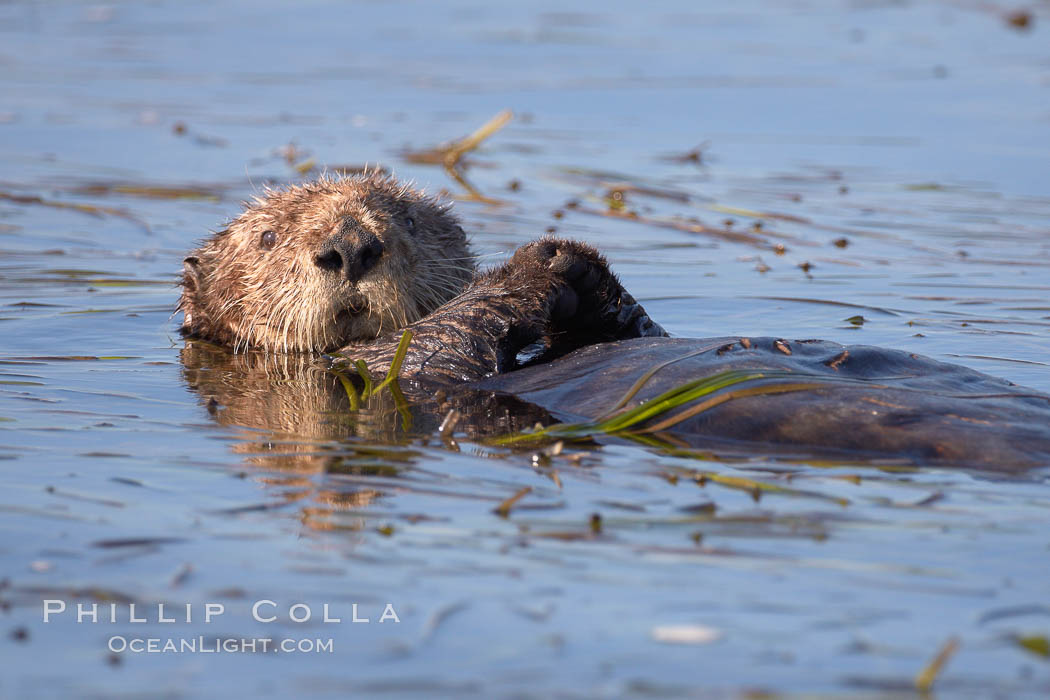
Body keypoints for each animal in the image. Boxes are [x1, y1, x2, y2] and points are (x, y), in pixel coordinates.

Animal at [180, 174, 1050, 470]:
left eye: (407, 218)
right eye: (269, 238)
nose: (352, 245)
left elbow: (631, 331)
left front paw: (573, 265)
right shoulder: (380, 374)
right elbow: (437, 345)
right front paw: (533, 267)